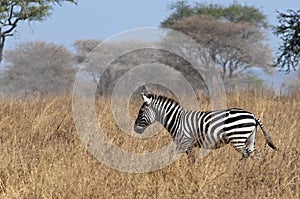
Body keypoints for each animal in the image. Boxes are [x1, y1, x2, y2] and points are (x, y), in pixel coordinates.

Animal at [134, 92, 276, 163]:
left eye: (141, 111)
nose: (135, 128)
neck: (176, 119)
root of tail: (253, 115)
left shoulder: (185, 142)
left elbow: (190, 159)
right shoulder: (182, 144)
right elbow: (172, 156)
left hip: (238, 137)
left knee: (246, 153)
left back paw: (238, 169)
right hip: (250, 138)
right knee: (255, 154)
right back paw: (254, 171)